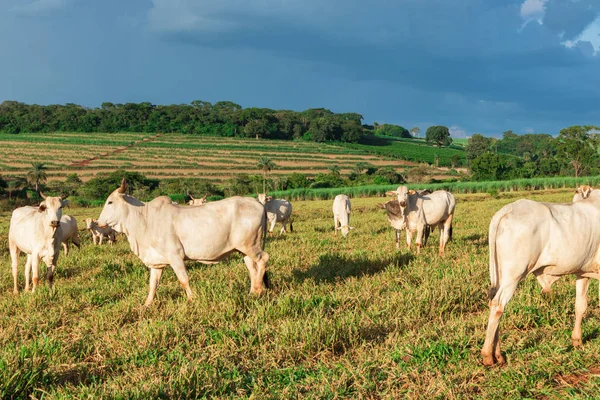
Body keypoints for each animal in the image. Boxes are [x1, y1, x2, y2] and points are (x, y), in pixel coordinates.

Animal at [97, 179, 268, 306]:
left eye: (110, 202)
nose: (98, 222)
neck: (145, 219)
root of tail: (258, 203)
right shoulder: (157, 262)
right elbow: (153, 285)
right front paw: (146, 305)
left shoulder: (175, 257)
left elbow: (184, 280)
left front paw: (192, 300)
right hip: (245, 249)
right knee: (252, 267)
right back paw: (252, 292)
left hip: (250, 246)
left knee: (263, 259)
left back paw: (259, 289)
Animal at [482, 193, 600, 366]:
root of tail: (506, 211)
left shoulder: (582, 273)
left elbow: (580, 306)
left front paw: (577, 341)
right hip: (514, 274)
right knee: (498, 305)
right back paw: (488, 356)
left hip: (500, 275)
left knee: (494, 302)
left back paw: (498, 354)